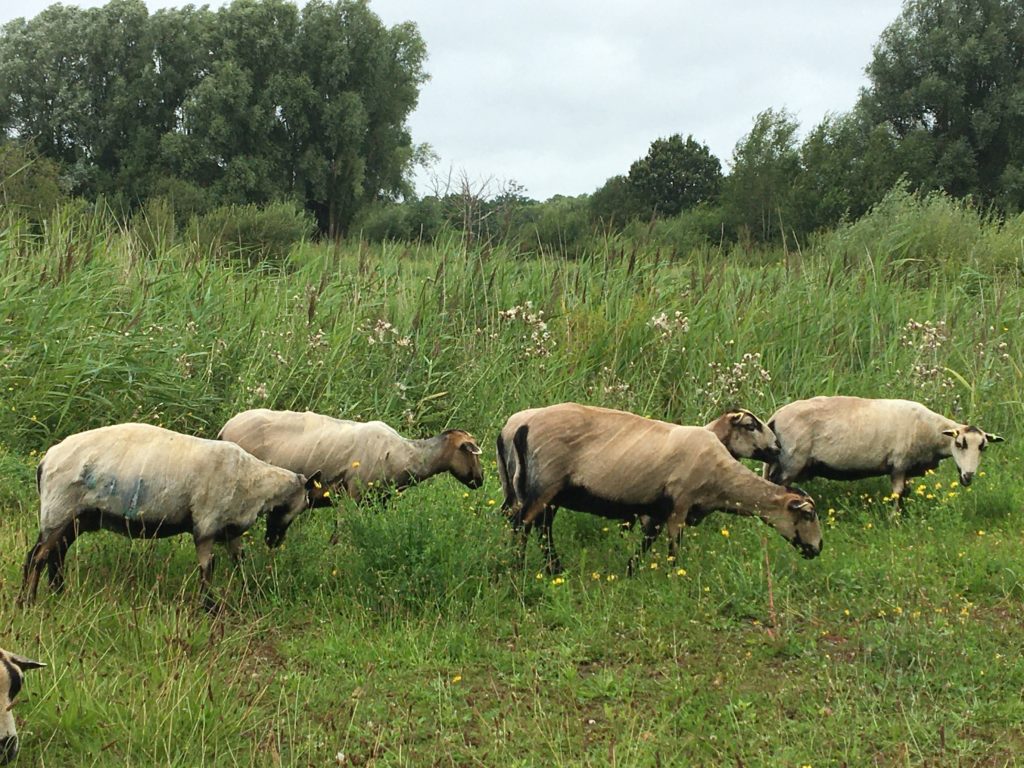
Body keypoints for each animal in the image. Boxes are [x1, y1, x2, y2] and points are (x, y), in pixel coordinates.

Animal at [18, 423, 329, 610]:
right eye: (300, 506)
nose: (273, 540)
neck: (254, 484)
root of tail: (45, 461)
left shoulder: (230, 530)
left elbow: (239, 561)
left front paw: (247, 592)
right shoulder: (206, 524)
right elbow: (207, 567)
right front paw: (209, 607)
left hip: (78, 517)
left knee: (56, 554)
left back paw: (58, 593)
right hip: (58, 510)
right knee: (37, 556)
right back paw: (28, 602)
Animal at [495, 403, 823, 577]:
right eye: (808, 516)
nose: (817, 549)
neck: (721, 478)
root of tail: (518, 426)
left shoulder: (656, 508)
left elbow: (646, 542)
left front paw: (630, 570)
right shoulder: (680, 503)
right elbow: (673, 546)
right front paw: (675, 577)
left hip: (539, 490)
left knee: (538, 526)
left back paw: (552, 568)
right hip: (544, 485)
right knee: (522, 525)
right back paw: (518, 567)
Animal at [765, 399, 1003, 507]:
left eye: (983, 447)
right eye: (960, 444)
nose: (968, 476)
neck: (930, 431)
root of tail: (774, 418)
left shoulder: (906, 469)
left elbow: (905, 493)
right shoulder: (899, 464)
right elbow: (897, 493)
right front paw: (894, 521)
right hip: (792, 461)